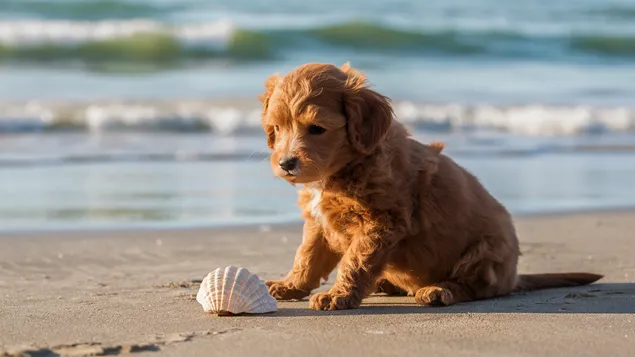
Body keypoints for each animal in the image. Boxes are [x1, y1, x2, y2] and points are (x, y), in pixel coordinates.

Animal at [258, 62, 600, 310]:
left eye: (317, 129)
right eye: (277, 128)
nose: (286, 163)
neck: (344, 168)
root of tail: (513, 277)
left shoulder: (380, 222)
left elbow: (356, 260)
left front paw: (338, 295)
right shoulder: (319, 222)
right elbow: (307, 255)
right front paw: (290, 286)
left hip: (485, 252)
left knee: (474, 287)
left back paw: (437, 290)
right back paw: (387, 284)